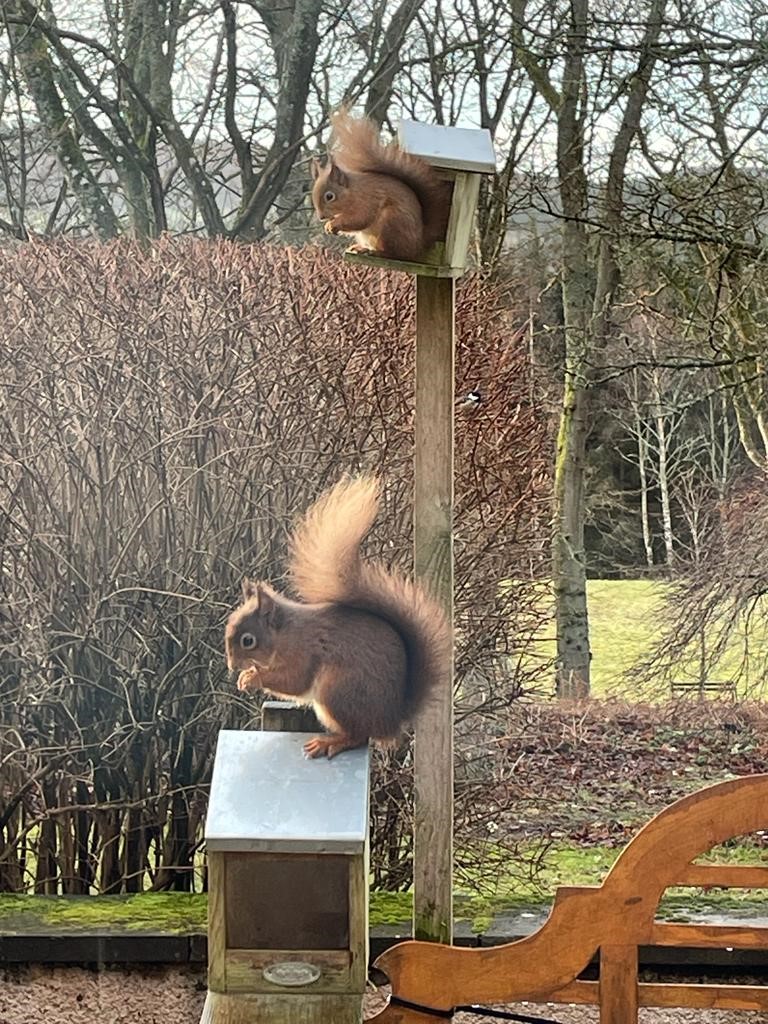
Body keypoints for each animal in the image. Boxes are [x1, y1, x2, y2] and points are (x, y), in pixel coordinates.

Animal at [225, 475, 450, 759]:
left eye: (248, 641)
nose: (232, 667)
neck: (285, 634)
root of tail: (391, 720)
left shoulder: (303, 653)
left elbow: (294, 681)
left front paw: (253, 677)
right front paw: (246, 675)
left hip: (338, 691)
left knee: (358, 736)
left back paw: (329, 742)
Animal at [311, 110, 451, 263]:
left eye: (330, 196)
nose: (321, 217)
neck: (353, 192)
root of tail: (419, 244)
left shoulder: (367, 201)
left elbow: (359, 219)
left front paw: (333, 224)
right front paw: (328, 225)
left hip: (391, 223)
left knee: (394, 254)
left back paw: (375, 252)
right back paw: (361, 248)